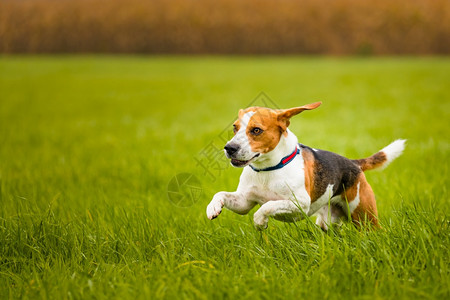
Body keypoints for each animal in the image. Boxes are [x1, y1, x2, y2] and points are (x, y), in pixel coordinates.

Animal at [206, 102, 406, 231]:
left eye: (256, 130)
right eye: (235, 127)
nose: (229, 148)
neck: (268, 170)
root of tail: (354, 163)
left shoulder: (300, 203)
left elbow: (268, 205)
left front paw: (260, 222)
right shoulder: (244, 202)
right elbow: (221, 194)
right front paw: (212, 208)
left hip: (364, 217)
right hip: (328, 222)